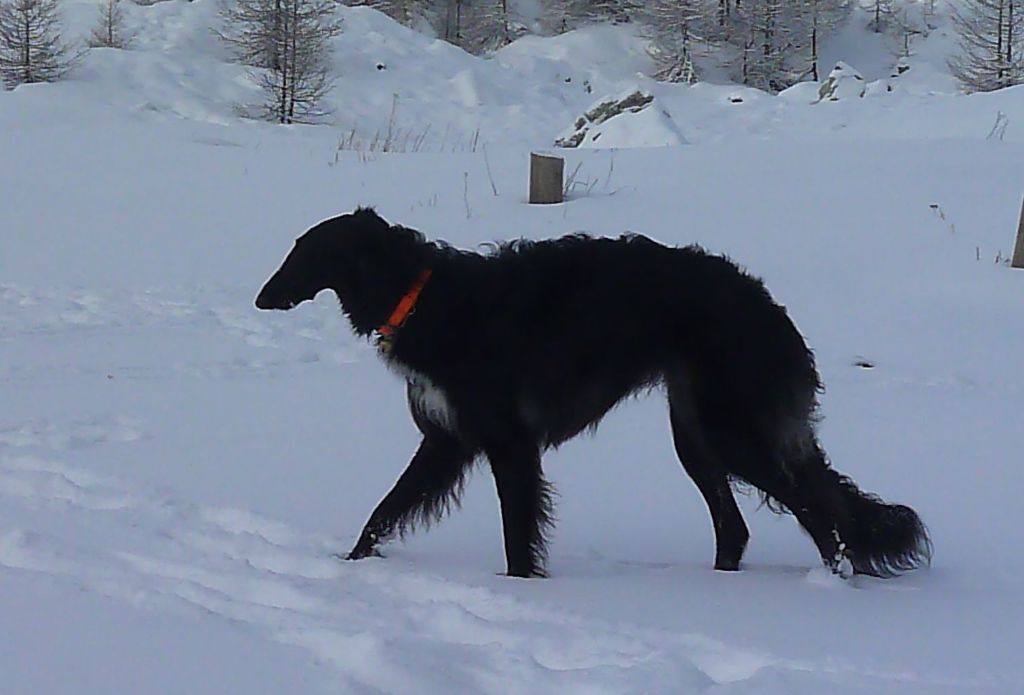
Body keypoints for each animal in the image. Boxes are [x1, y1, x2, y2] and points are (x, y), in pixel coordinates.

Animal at [253, 209, 929, 577]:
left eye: (303, 251)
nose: (262, 296)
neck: (424, 297)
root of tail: (768, 307)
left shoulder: (507, 442)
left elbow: (516, 533)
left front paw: (517, 588)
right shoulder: (446, 440)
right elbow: (383, 510)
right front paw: (347, 570)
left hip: (731, 429)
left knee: (819, 513)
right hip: (695, 434)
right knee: (739, 527)